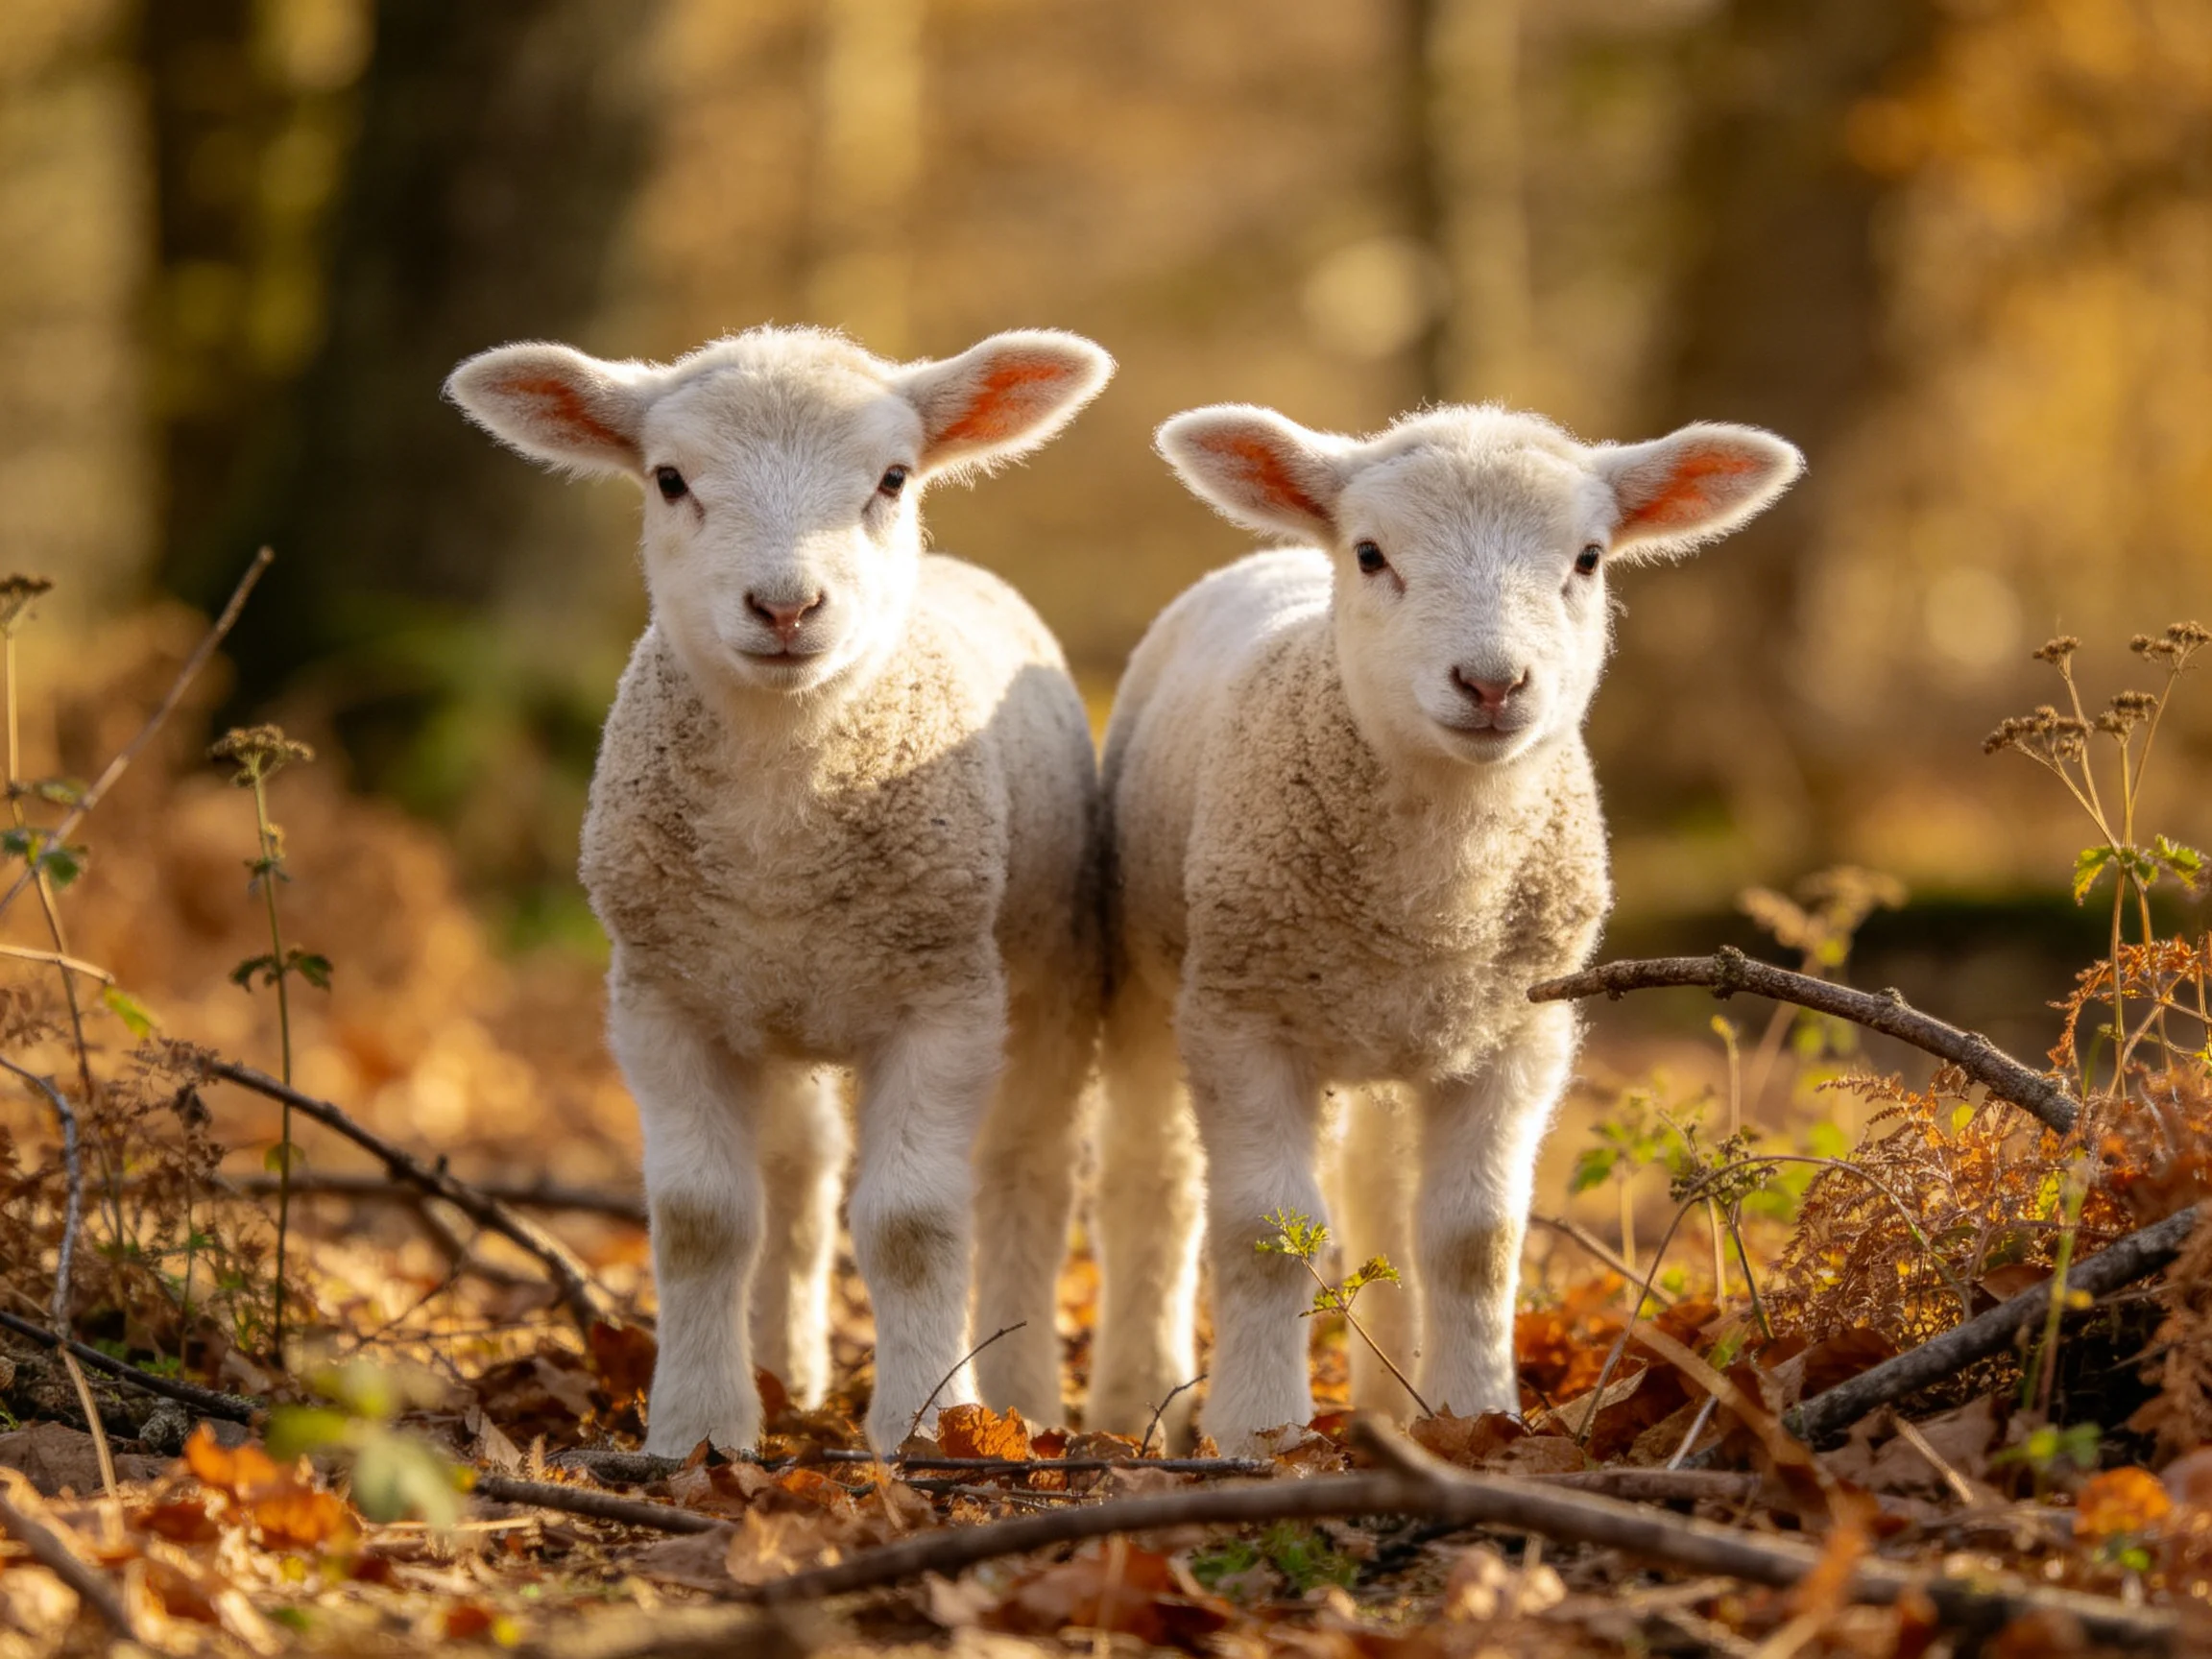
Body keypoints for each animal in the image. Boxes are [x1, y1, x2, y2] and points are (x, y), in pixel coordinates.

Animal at [444, 325, 1112, 1452]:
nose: (787, 607)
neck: (781, 838)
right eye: (669, 480)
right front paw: (700, 1431)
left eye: (892, 479)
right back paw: (783, 1372)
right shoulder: (662, 997)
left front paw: (924, 1430)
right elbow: (703, 1221)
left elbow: (914, 1225)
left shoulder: (946, 996)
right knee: (797, 1179)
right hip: (774, 1002)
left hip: (1047, 965)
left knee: (1027, 1170)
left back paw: (1018, 1400)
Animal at [1088, 401, 1802, 1448]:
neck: (1434, 903)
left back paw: (1396, 1405)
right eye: (1372, 553)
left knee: (1379, 1195)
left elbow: (1475, 1240)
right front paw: (1259, 1432)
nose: (1493, 684)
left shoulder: (1520, 1029)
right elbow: (1262, 1233)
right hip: (1151, 972)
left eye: (1589, 558)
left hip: (1404, 1033)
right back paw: (1135, 1399)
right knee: (1155, 1180)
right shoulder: (1241, 1013)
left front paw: (1477, 1415)